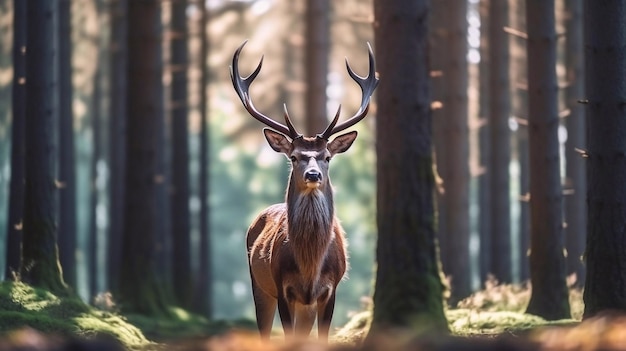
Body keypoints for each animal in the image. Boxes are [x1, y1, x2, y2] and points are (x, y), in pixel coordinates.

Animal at [228, 40, 376, 340]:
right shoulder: (282, 287)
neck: (310, 267)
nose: (313, 174)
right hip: (259, 284)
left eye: (327, 157)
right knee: (264, 329)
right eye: (294, 157)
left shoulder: (330, 290)